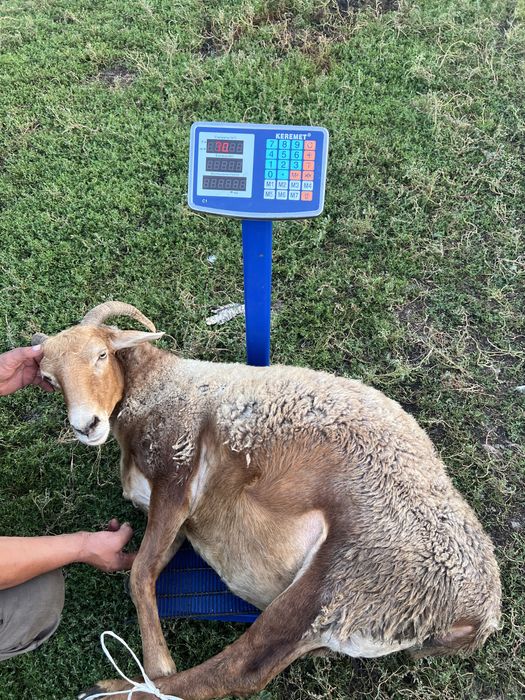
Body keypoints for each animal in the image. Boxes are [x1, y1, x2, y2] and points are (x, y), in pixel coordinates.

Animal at [33, 301, 501, 700]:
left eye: (101, 355)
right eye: (50, 379)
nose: (86, 425)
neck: (158, 386)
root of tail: (476, 617)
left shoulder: (177, 472)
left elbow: (140, 574)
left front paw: (158, 663)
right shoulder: (178, 520)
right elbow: (148, 568)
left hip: (345, 580)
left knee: (243, 668)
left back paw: (113, 689)